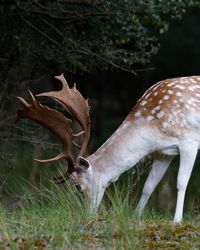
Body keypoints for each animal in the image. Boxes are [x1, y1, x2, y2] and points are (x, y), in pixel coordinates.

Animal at [16, 73, 200, 223]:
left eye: (77, 186)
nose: (88, 215)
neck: (152, 125)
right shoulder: (164, 152)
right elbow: (149, 186)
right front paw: (136, 216)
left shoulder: (188, 141)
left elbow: (181, 182)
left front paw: (177, 221)